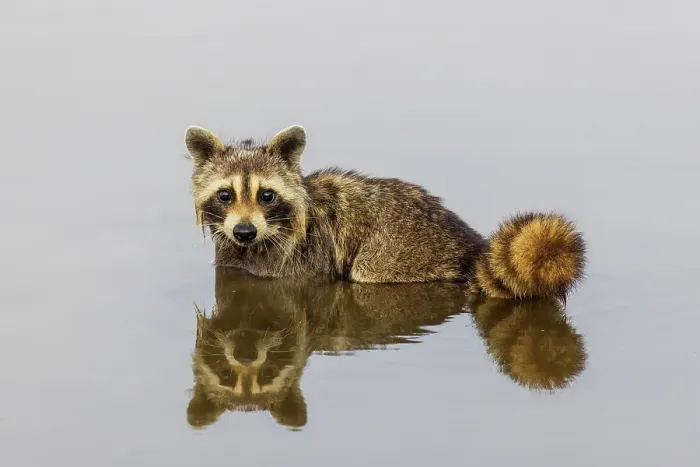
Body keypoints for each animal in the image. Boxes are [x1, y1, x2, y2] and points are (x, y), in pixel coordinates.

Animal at [184, 125, 586, 301]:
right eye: (225, 194)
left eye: (266, 195)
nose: (244, 232)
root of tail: (471, 243)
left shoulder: (302, 260)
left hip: (399, 253)